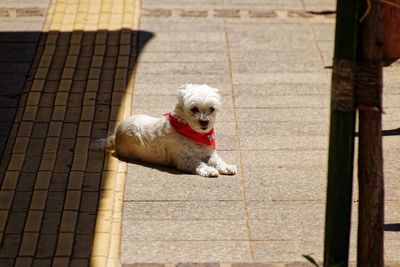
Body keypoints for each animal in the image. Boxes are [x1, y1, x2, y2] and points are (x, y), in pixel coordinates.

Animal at [95, 84, 236, 178]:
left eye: (212, 109)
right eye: (194, 109)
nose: (205, 122)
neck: (192, 133)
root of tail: (115, 135)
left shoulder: (208, 153)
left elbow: (218, 160)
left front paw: (226, 167)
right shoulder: (184, 159)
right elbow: (198, 163)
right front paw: (208, 170)